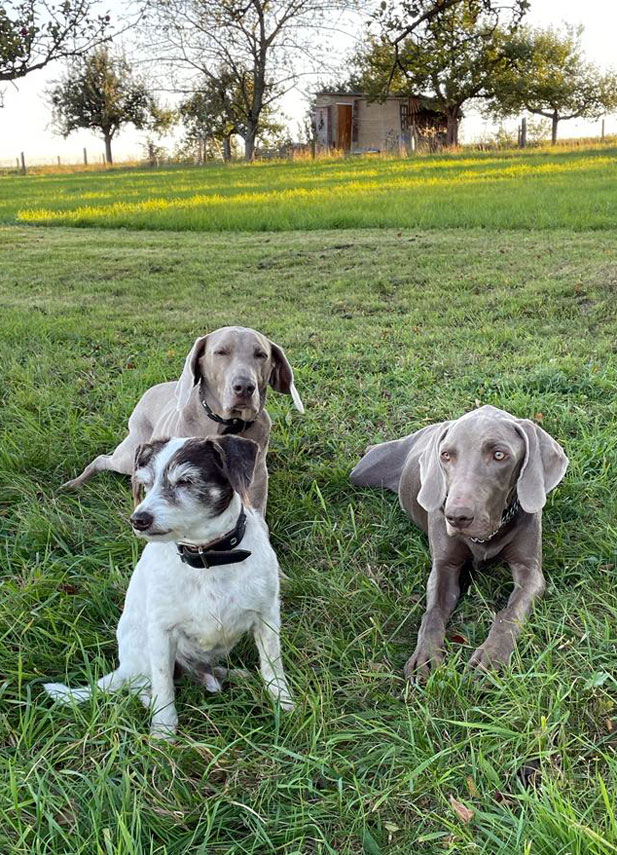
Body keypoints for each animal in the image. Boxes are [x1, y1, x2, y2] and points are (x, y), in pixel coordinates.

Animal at [44, 434, 292, 736]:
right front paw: (163, 730)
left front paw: (282, 701)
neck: (207, 559)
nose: (138, 519)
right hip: (142, 655)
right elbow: (164, 685)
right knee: (141, 687)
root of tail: (124, 668)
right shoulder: (162, 633)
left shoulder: (266, 617)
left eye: (186, 481)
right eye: (146, 484)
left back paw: (233, 675)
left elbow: (272, 665)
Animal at [62, 326, 304, 516]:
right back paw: (73, 484)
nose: (244, 387)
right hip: (128, 456)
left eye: (261, 354)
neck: (228, 425)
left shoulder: (255, 479)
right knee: (101, 459)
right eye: (221, 352)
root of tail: (149, 390)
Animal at [352, 404, 568, 680]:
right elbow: (432, 612)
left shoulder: (530, 570)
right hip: (362, 470)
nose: (456, 517)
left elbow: (510, 613)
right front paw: (425, 657)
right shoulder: (445, 566)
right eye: (446, 455)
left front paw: (491, 656)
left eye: (499, 455)